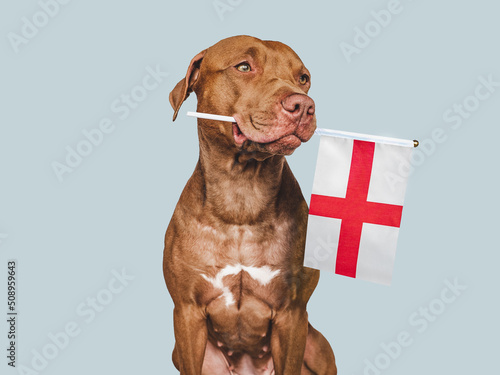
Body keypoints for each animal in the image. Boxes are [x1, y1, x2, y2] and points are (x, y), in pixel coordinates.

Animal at [164, 35, 336, 375]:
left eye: (303, 78)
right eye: (244, 67)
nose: (303, 105)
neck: (242, 196)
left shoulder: (292, 315)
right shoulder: (187, 313)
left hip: (318, 346)